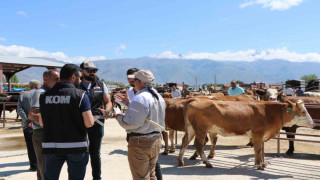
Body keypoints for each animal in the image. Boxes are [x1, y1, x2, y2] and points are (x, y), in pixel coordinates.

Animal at [179, 99, 314, 169]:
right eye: (303, 111)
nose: (313, 123)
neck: (269, 113)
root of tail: (196, 99)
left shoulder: (258, 136)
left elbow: (257, 150)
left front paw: (258, 163)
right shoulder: (258, 134)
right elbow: (258, 150)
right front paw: (260, 165)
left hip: (191, 129)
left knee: (185, 142)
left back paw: (180, 161)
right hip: (201, 129)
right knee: (199, 145)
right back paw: (207, 162)